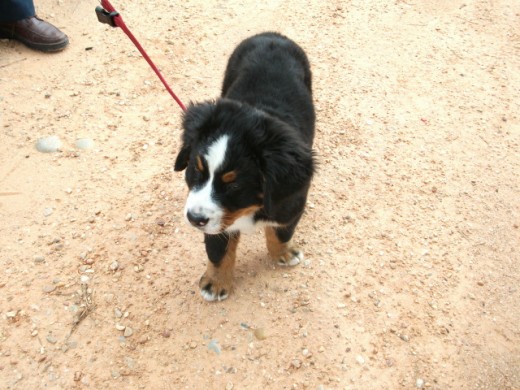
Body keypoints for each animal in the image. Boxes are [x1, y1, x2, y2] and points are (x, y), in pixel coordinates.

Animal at [175, 32, 314, 302]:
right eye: (196, 170)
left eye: (234, 185)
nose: (194, 218)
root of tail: (271, 35)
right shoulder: (216, 224)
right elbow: (218, 251)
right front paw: (215, 283)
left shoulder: (291, 203)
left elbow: (281, 232)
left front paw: (284, 253)